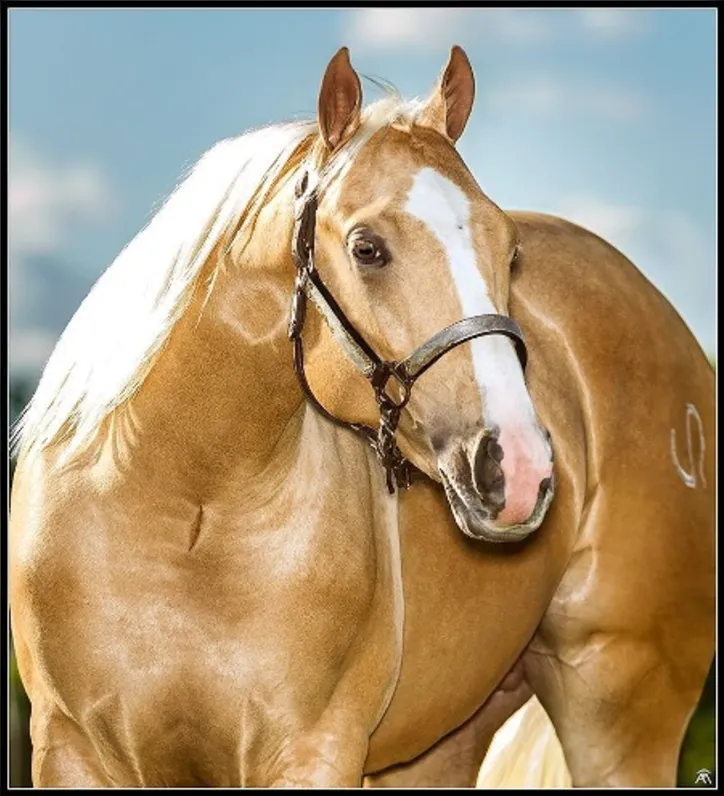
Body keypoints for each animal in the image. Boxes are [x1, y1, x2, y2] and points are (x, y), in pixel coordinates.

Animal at [9, 46, 712, 788]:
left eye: (508, 249)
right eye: (367, 248)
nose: (519, 467)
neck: (181, 510)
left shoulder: (313, 749)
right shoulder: (71, 749)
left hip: (619, 707)